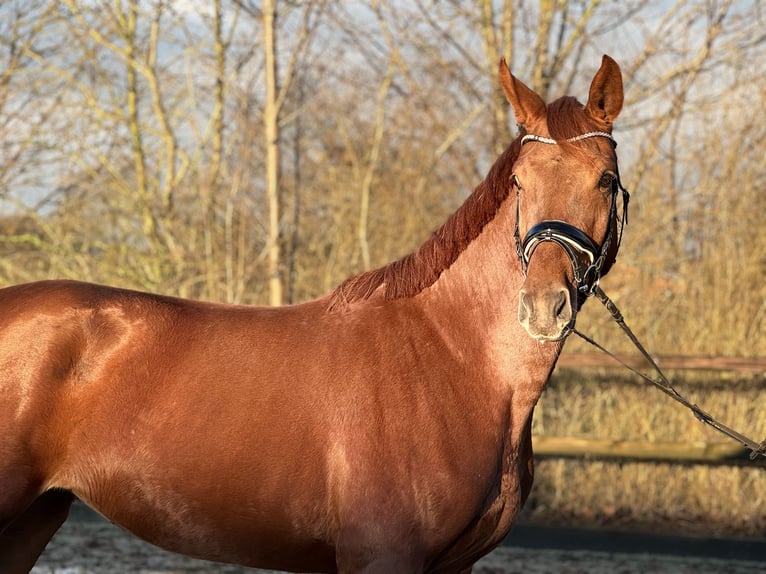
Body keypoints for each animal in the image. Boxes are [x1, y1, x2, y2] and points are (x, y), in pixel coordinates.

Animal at [0, 55, 628, 574]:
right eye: (520, 181)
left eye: (605, 180)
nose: (544, 305)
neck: (452, 360)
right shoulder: (383, 557)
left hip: (33, 519)